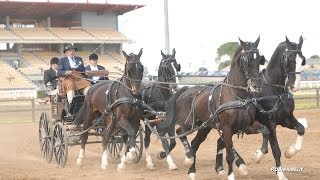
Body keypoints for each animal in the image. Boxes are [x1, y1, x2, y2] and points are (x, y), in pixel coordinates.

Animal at [159, 37, 266, 180]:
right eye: (246, 60)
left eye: (259, 59)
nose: (257, 85)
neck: (236, 95)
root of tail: (186, 89)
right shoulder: (227, 128)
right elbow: (229, 154)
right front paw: (231, 175)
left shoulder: (246, 126)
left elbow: (265, 130)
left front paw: (259, 155)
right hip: (190, 124)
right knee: (180, 132)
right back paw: (188, 158)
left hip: (205, 127)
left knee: (195, 143)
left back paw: (192, 171)